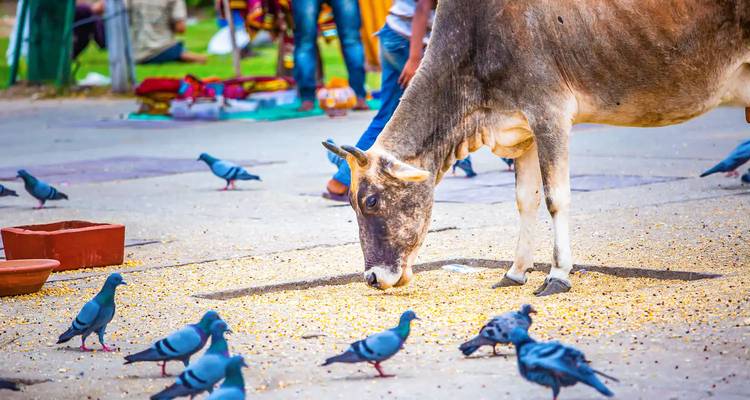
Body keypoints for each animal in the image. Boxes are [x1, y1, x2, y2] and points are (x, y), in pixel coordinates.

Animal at [324, 0, 750, 296]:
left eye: (371, 201)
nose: (371, 276)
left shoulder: (550, 113)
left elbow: (555, 198)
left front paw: (558, 275)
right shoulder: (521, 128)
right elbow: (524, 201)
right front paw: (515, 272)